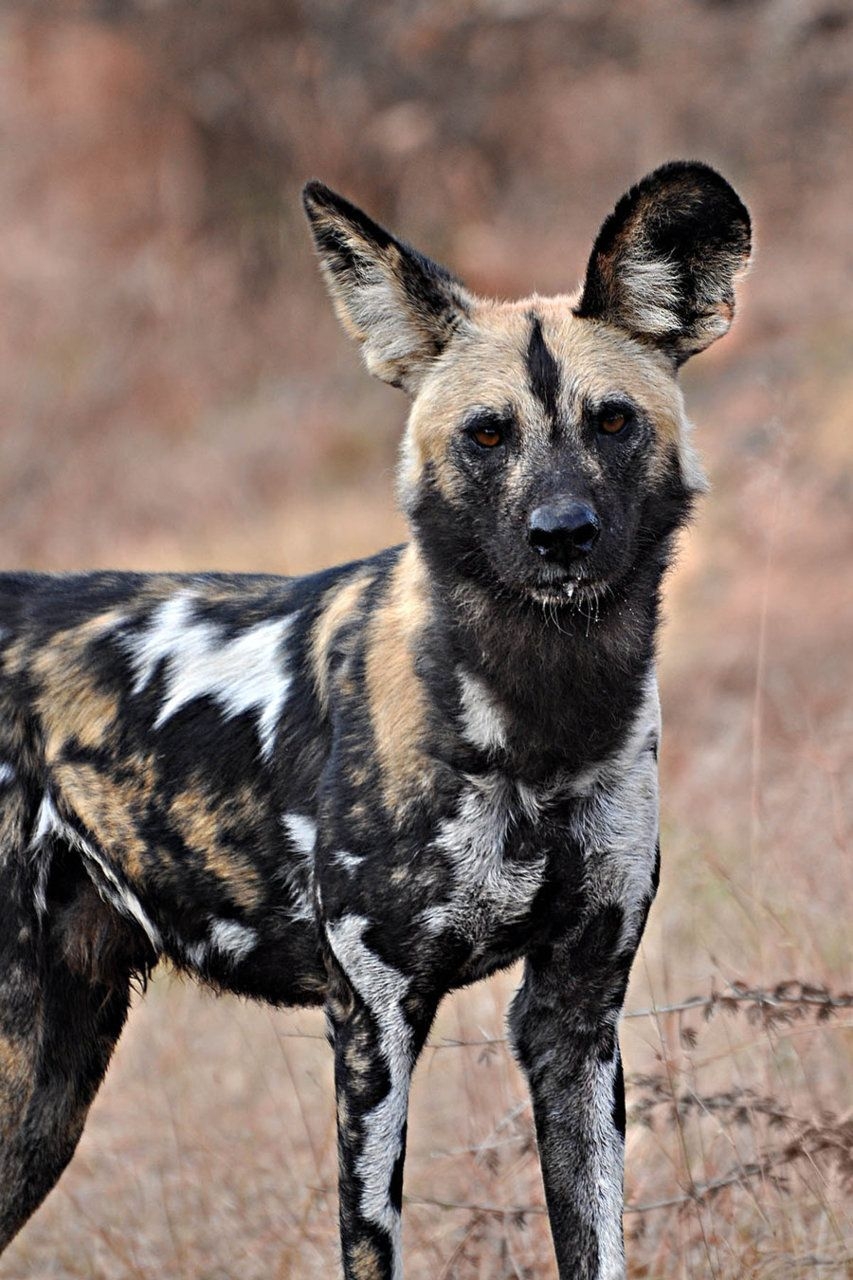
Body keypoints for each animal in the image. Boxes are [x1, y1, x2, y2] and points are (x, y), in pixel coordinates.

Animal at [0, 162, 742, 1280]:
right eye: (487, 435)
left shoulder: (572, 1017)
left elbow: (596, 1242)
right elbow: (371, 1243)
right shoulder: (375, 1020)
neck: (542, 720)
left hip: (49, 1089)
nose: (561, 534)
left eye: (612, 422)